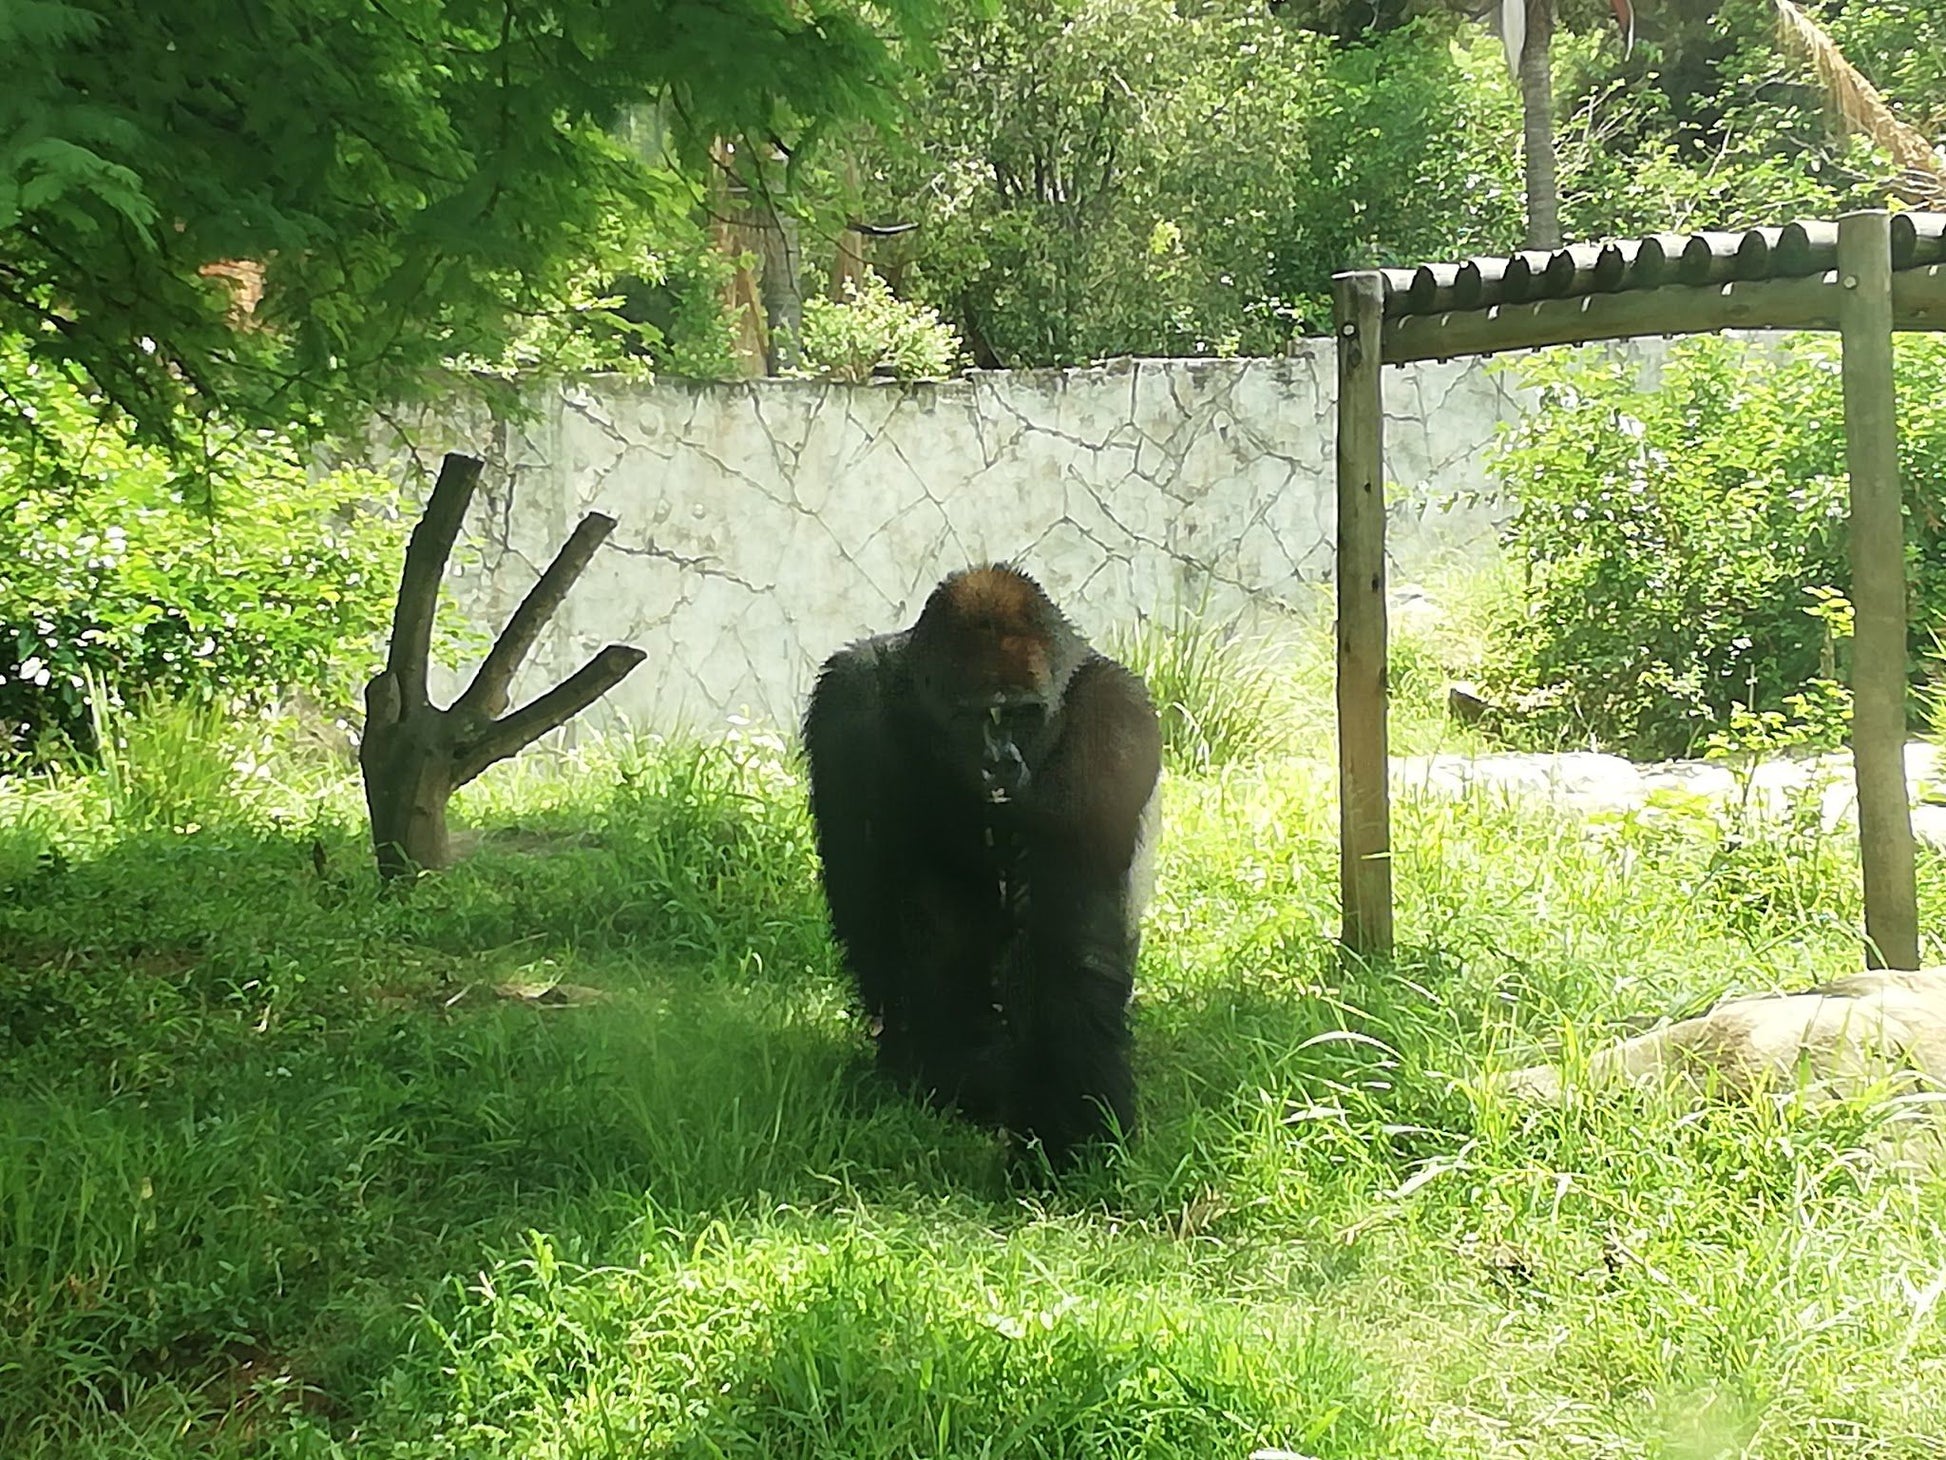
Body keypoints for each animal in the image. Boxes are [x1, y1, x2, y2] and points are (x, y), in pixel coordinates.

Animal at [801, 564, 1159, 1175]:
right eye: (974, 718)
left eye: (1020, 714)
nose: (1001, 762)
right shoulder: (846, 703)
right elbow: (868, 904)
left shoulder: (1117, 719)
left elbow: (1073, 933)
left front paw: (1068, 1130)